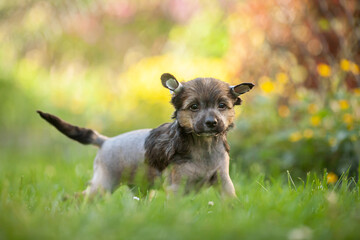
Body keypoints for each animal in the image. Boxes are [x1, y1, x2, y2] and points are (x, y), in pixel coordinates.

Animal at [38, 73, 255, 197]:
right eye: (194, 107)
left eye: (222, 106)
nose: (212, 123)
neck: (203, 145)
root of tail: (105, 141)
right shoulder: (175, 187)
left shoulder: (224, 181)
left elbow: (230, 200)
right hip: (103, 184)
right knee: (80, 198)